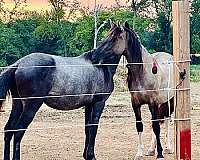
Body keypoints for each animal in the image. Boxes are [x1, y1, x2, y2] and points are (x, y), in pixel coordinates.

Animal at [0, 23, 126, 160]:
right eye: (108, 37)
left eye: (113, 38)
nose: (95, 57)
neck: (103, 67)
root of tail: (18, 64)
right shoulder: (99, 103)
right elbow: (93, 128)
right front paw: (91, 156)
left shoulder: (89, 105)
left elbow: (87, 129)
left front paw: (86, 155)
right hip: (31, 106)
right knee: (18, 132)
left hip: (17, 104)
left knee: (9, 130)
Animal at [123, 21, 180, 160]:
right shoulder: (136, 103)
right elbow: (140, 125)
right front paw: (140, 153)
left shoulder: (153, 103)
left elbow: (156, 125)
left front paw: (160, 152)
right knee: (158, 120)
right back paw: (151, 149)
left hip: (169, 100)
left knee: (166, 119)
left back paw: (168, 147)